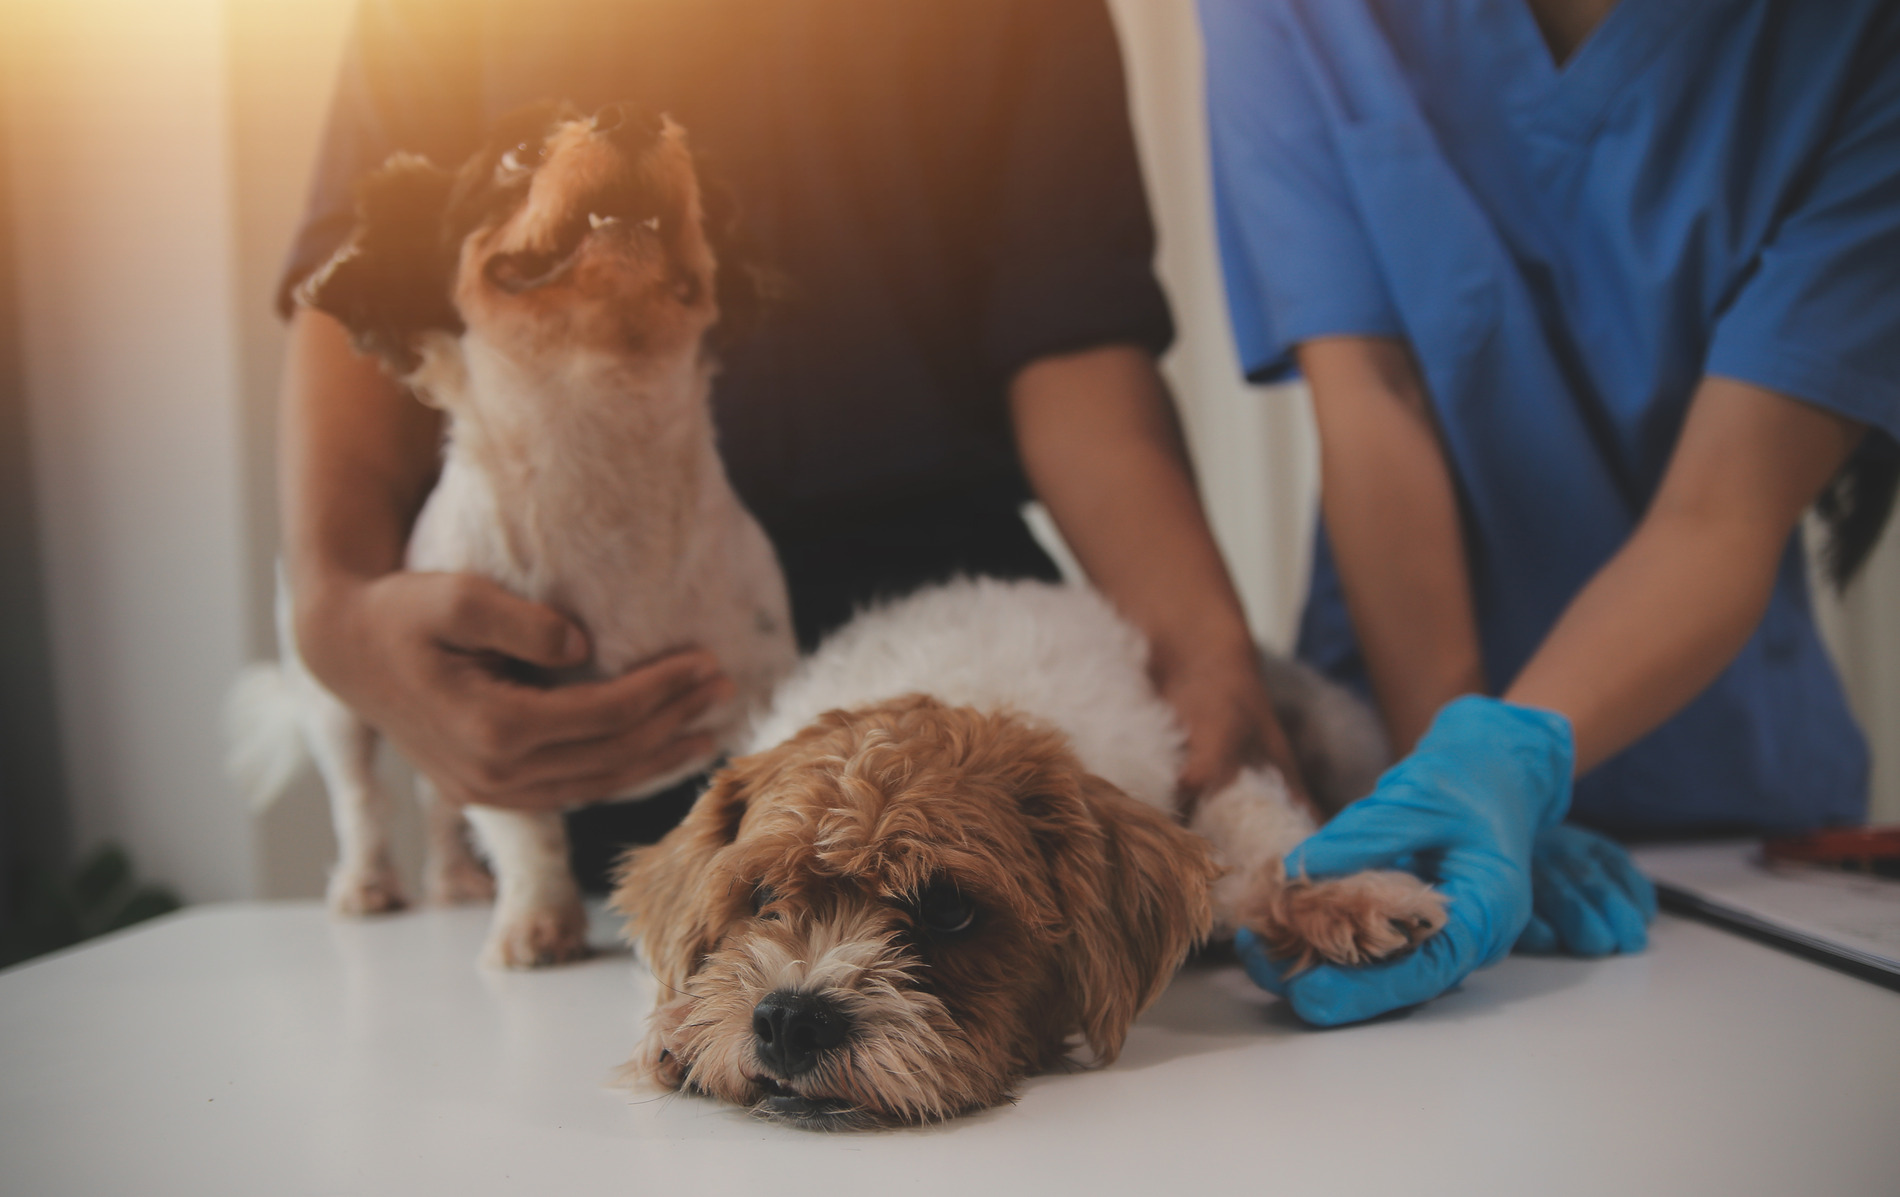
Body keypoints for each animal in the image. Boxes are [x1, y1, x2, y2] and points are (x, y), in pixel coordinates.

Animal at [615, 577, 1444, 1132]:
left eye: (948, 908)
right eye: (760, 896)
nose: (791, 1018)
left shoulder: (1203, 764)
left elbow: (1260, 833)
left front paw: (1345, 897)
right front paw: (675, 1021)